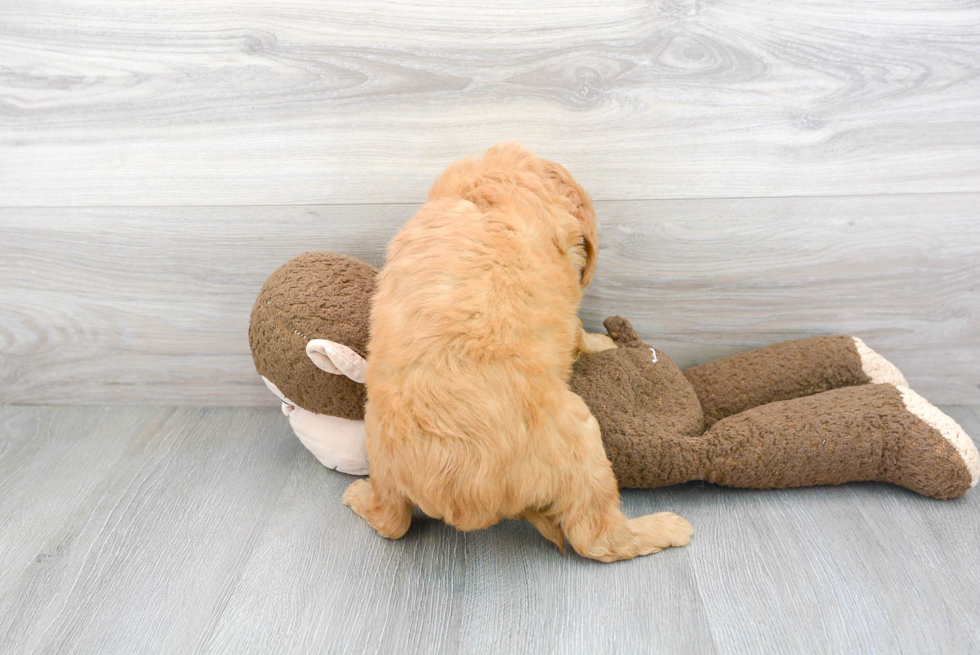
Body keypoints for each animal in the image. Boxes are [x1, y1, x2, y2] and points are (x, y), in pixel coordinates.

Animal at [340, 144, 692, 564]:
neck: (491, 188)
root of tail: (457, 498)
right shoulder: (565, 293)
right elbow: (578, 330)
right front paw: (603, 342)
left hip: (380, 457)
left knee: (392, 521)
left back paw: (356, 496)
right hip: (582, 437)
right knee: (596, 538)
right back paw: (668, 527)